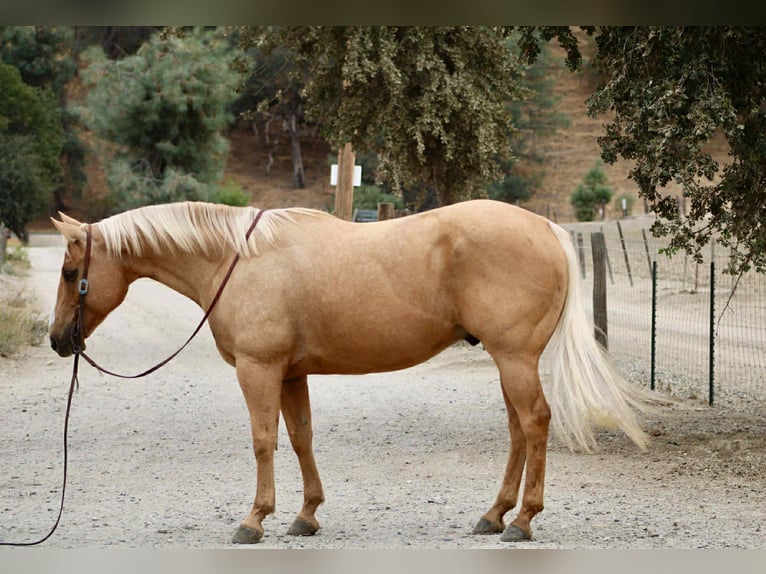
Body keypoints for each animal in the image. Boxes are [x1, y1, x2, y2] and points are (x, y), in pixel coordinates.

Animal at [48, 199, 656, 544]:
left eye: (70, 272)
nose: (59, 340)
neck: (238, 258)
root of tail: (547, 228)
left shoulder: (258, 370)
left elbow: (264, 440)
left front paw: (255, 520)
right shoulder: (290, 374)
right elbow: (300, 438)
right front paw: (306, 515)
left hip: (515, 359)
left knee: (533, 424)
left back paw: (524, 521)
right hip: (509, 361)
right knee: (517, 431)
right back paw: (495, 515)